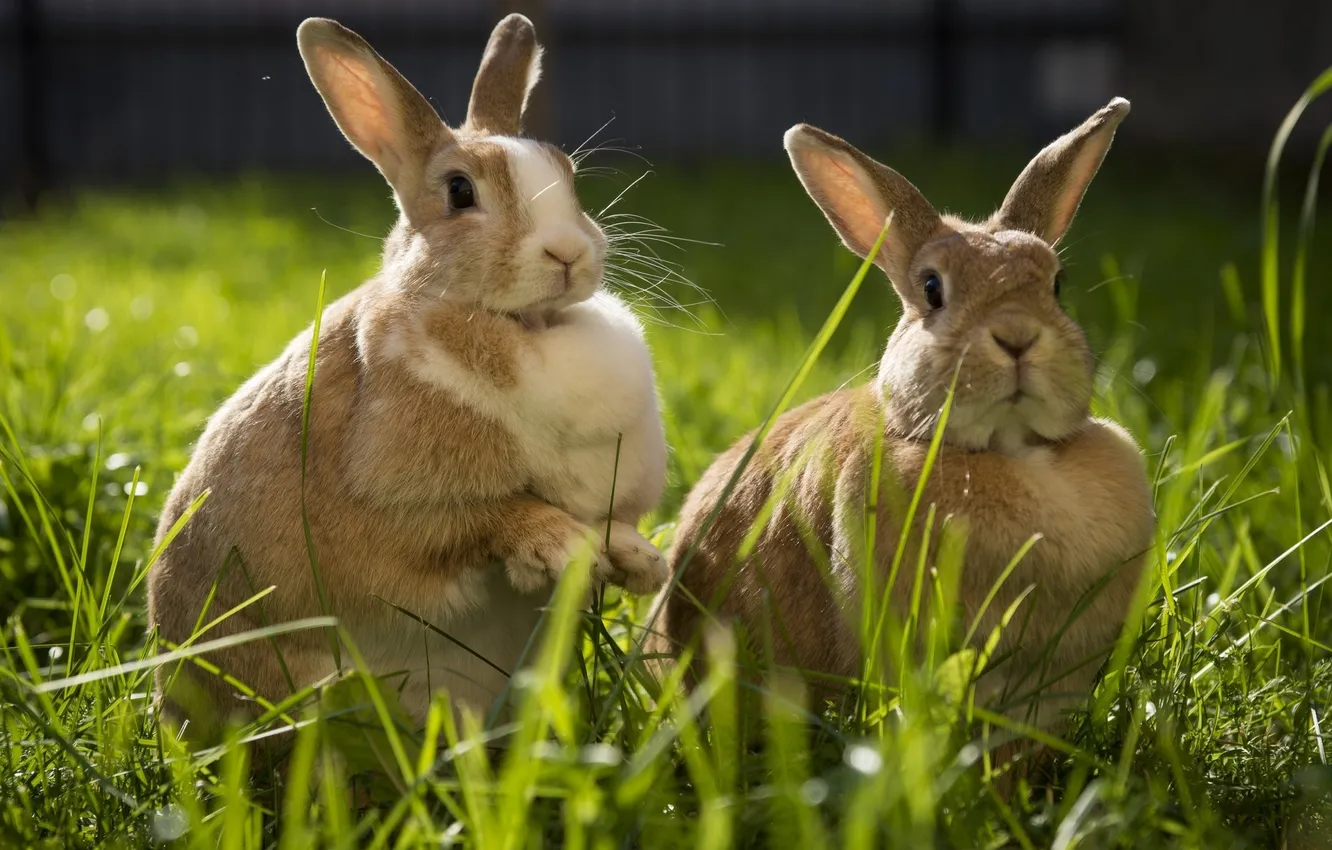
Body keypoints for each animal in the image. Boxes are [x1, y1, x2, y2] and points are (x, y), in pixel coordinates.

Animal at [147, 14, 669, 741]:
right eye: (459, 192)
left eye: (569, 176)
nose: (567, 253)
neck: (523, 326)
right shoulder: (403, 503)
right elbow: (489, 516)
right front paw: (562, 547)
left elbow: (608, 524)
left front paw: (643, 563)